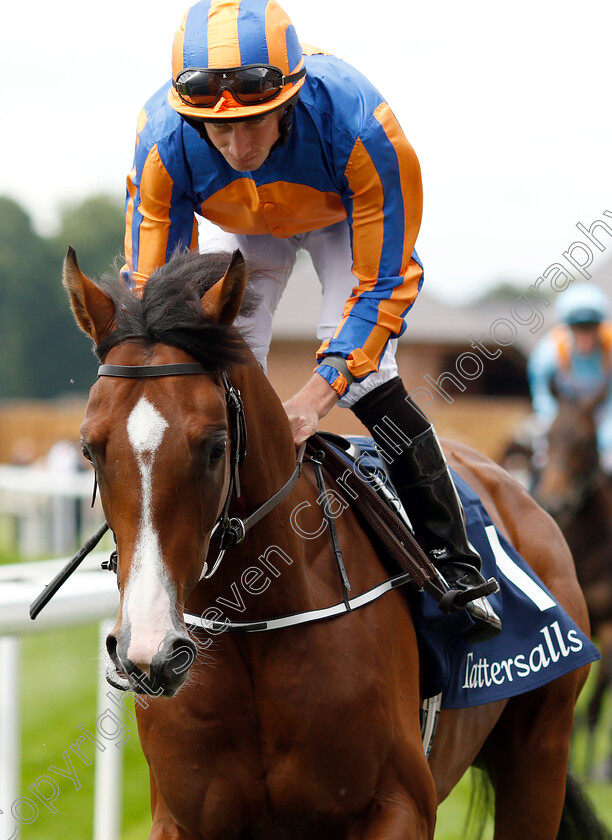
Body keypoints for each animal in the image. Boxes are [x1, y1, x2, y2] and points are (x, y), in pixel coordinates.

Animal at [59, 248, 604, 840]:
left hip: (538, 751)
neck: (258, 625)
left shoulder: (399, 807)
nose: (149, 651)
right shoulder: (182, 820)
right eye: (90, 448)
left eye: (214, 447)